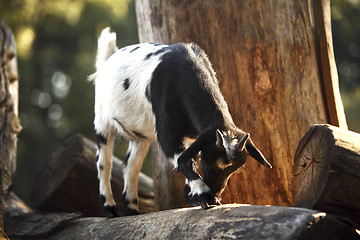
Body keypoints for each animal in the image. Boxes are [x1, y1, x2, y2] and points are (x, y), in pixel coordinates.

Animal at [90, 27, 272, 217]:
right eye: (211, 160)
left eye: (234, 168)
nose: (217, 189)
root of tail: (108, 59)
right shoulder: (167, 133)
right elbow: (182, 159)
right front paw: (204, 195)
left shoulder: (195, 137)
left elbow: (189, 157)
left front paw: (192, 198)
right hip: (102, 121)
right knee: (104, 162)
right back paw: (109, 208)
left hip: (141, 137)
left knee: (131, 166)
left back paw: (132, 210)